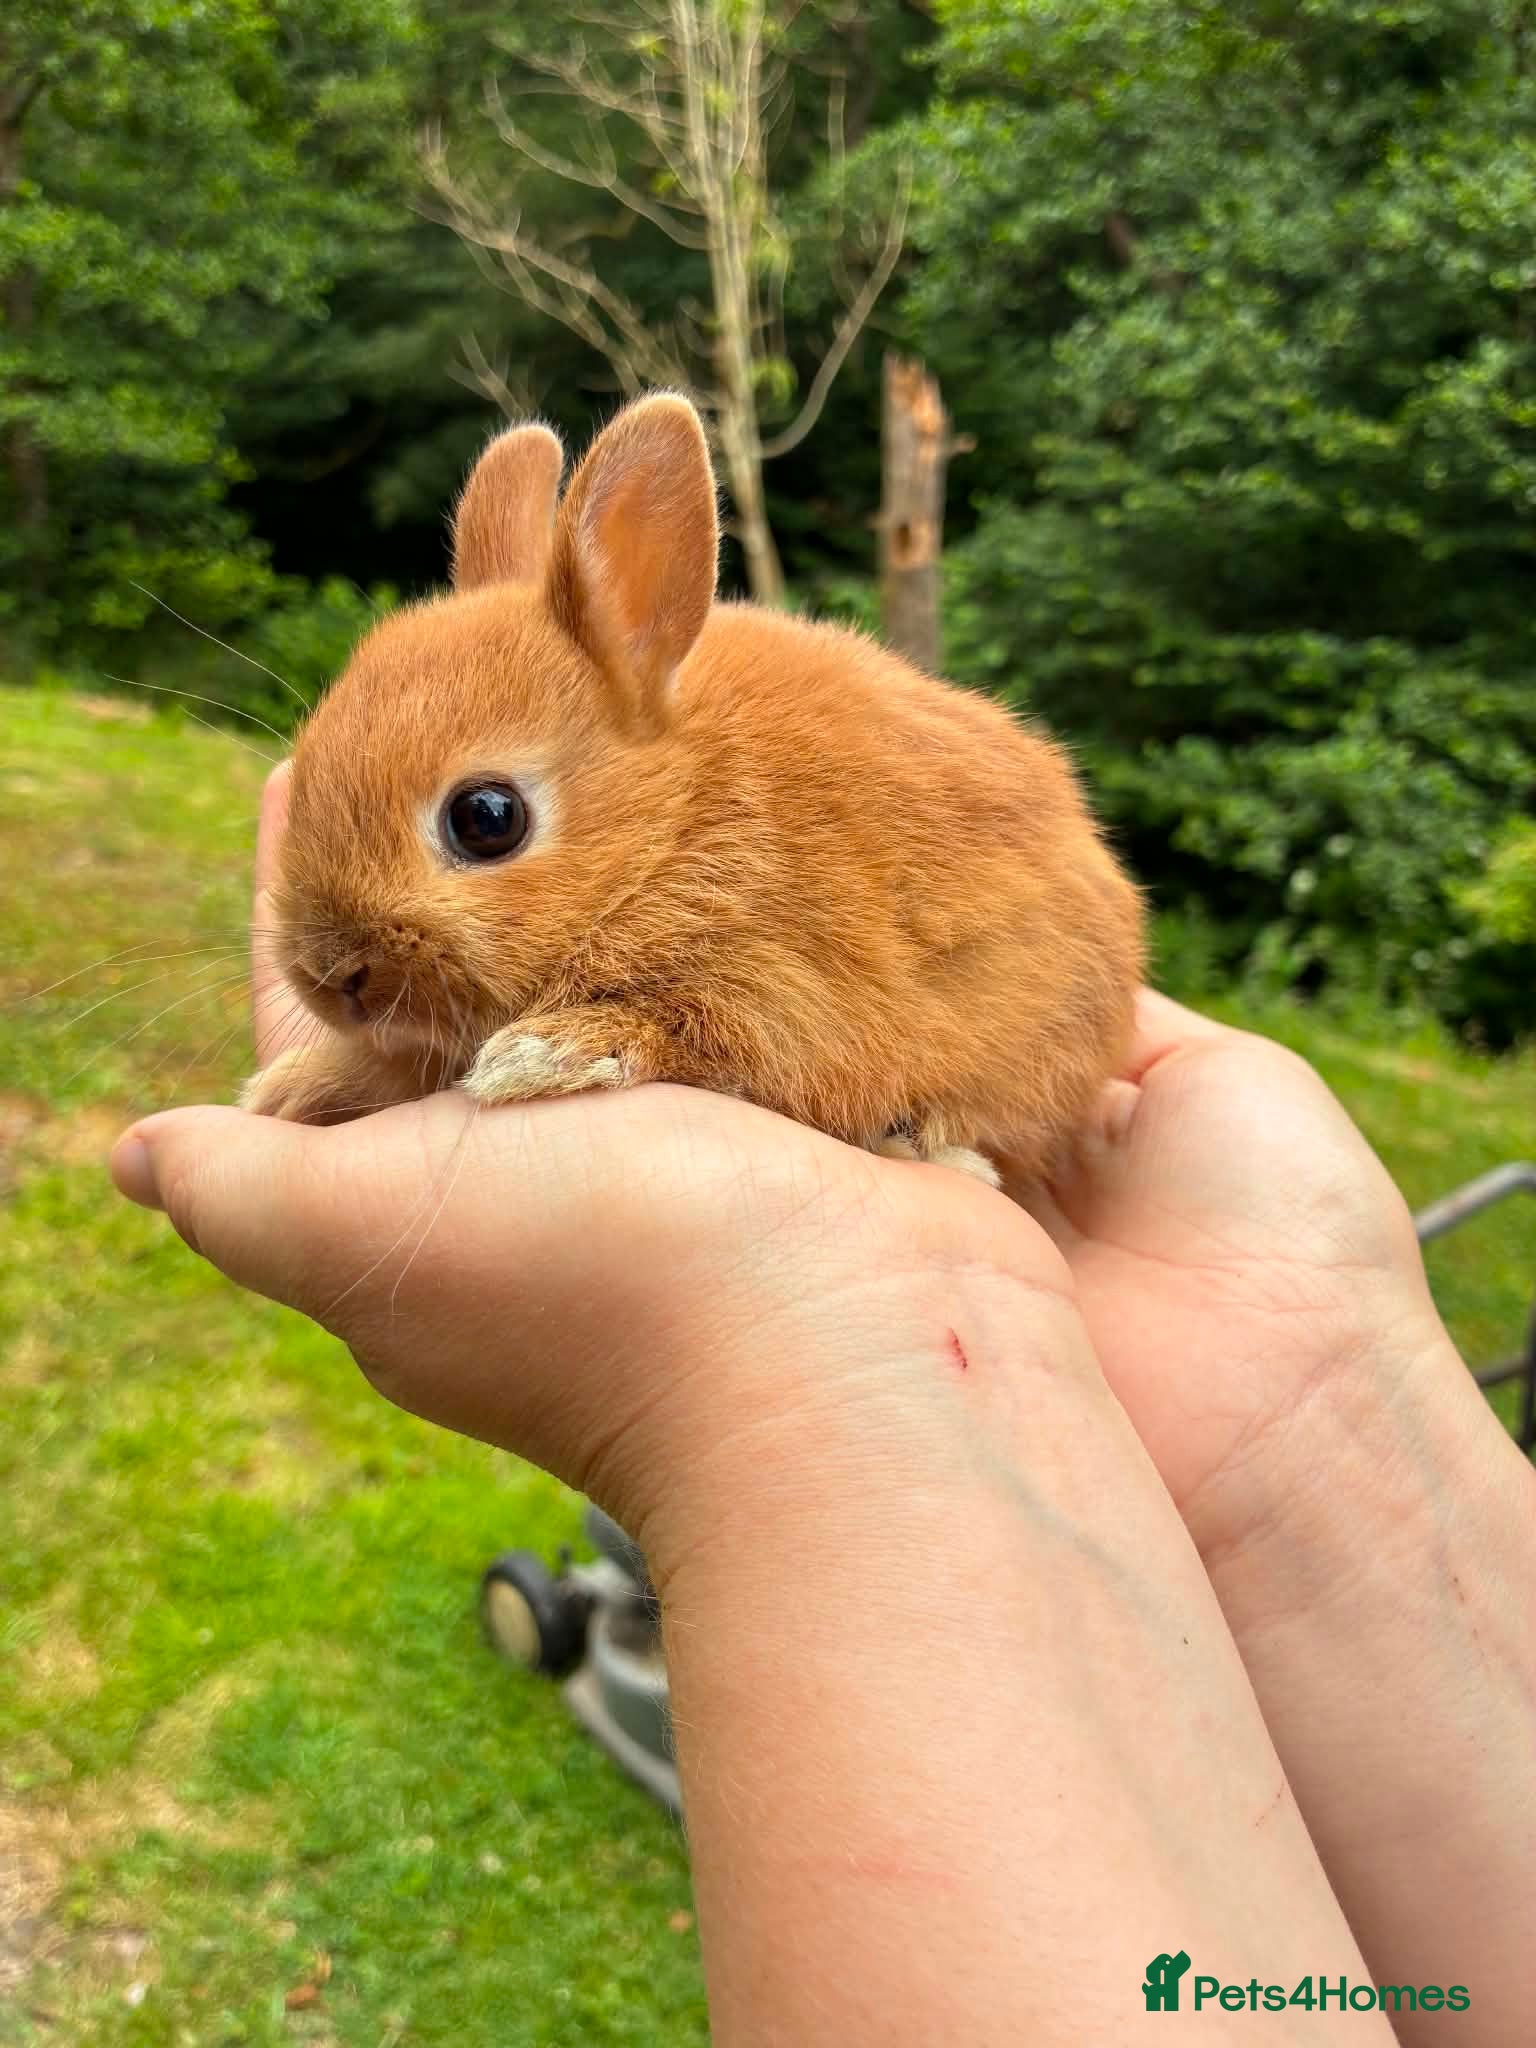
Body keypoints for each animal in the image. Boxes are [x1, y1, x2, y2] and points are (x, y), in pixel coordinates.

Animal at [242, 392, 1145, 1184]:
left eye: (487, 818)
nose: (331, 976)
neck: (672, 824)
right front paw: (292, 1087)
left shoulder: (783, 990)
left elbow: (700, 1031)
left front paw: (544, 1054)